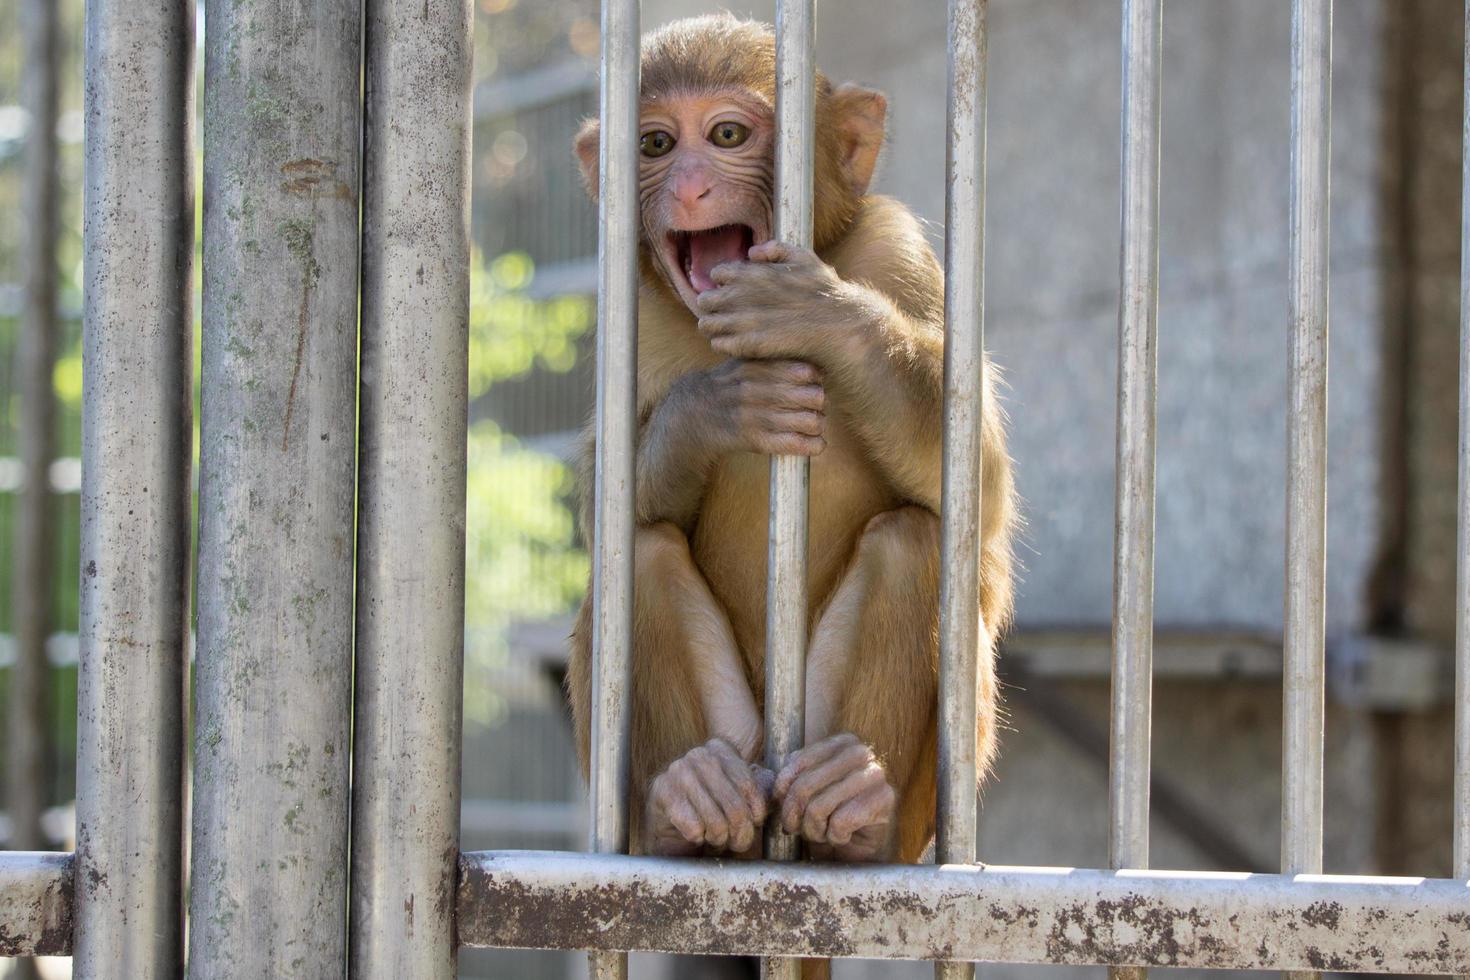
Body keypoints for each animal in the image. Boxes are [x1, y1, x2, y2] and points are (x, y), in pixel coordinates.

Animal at [561, 13, 1011, 881]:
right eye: (655, 144)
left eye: (728, 135)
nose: (690, 187)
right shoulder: (634, 313)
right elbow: (604, 506)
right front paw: (711, 410)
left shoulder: (894, 250)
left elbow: (979, 483)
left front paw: (824, 318)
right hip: (729, 760)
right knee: (640, 554)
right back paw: (688, 808)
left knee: (915, 540)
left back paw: (857, 818)